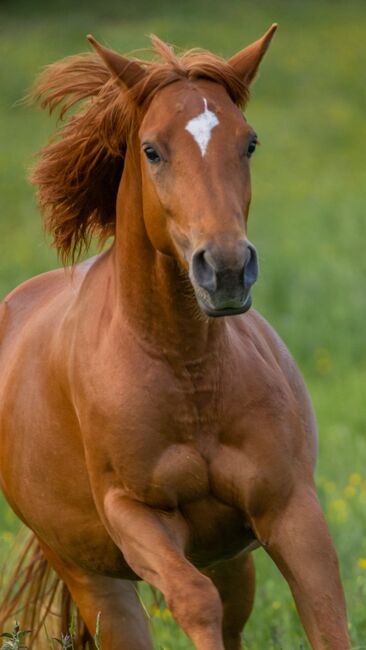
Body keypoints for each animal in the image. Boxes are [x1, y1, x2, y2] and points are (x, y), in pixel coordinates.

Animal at [0, 26, 350, 648]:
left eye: (249, 143)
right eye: (152, 150)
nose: (227, 269)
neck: (187, 372)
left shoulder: (292, 509)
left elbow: (328, 619)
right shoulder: (135, 516)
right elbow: (192, 599)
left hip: (230, 558)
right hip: (94, 578)